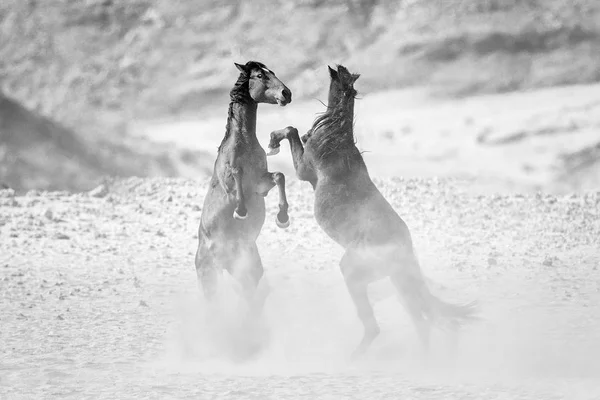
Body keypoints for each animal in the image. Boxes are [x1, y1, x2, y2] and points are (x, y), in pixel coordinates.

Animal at [195, 61, 292, 316]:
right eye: (259, 75)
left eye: (272, 73)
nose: (286, 93)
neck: (244, 143)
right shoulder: (232, 183)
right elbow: (237, 177)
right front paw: (241, 211)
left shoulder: (261, 185)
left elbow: (279, 176)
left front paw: (283, 217)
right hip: (210, 275)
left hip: (246, 269)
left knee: (251, 295)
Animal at [268, 65, 478, 360]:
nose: (288, 91)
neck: (335, 137)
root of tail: (405, 250)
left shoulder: (303, 170)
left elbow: (291, 129)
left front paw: (272, 142)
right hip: (398, 283)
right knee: (422, 320)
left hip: (355, 273)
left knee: (376, 325)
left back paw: (355, 358)